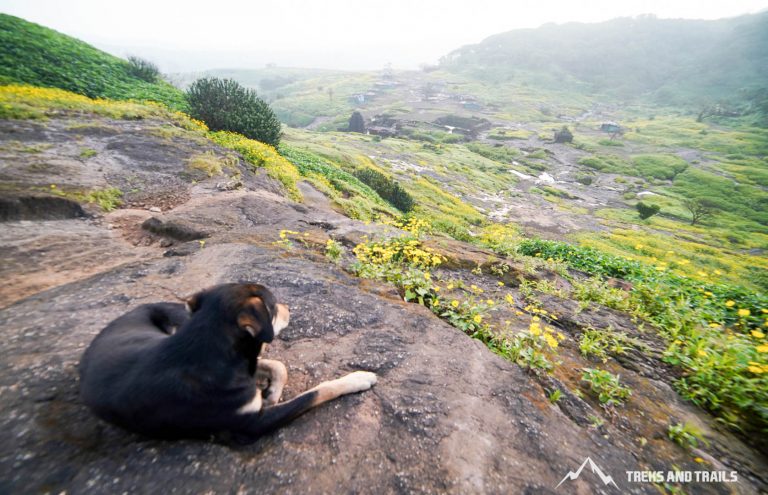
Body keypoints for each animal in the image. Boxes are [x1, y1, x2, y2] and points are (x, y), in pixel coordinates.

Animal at [79, 282, 378, 442]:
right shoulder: (252, 425)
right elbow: (316, 392)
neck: (206, 351)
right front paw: (358, 378)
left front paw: (271, 391)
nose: (290, 308)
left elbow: (277, 366)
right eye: (274, 306)